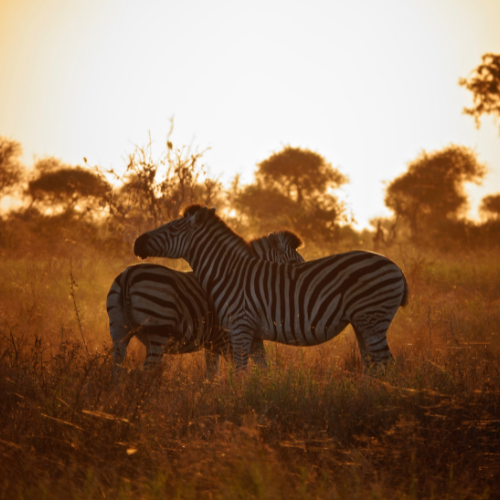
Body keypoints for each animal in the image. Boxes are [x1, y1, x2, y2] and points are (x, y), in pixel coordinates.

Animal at [107, 230, 304, 376]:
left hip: (118, 331)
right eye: (294, 263)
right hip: (157, 334)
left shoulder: (213, 344)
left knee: (115, 369)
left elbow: (212, 376)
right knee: (142, 373)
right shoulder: (227, 340)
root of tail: (127, 276)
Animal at [134, 204, 410, 372]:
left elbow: (240, 373)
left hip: (373, 319)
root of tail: (396, 266)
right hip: (362, 322)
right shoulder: (253, 333)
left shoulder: (240, 327)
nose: (137, 243)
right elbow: (262, 373)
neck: (228, 273)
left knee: (388, 366)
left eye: (172, 227)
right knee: (374, 366)